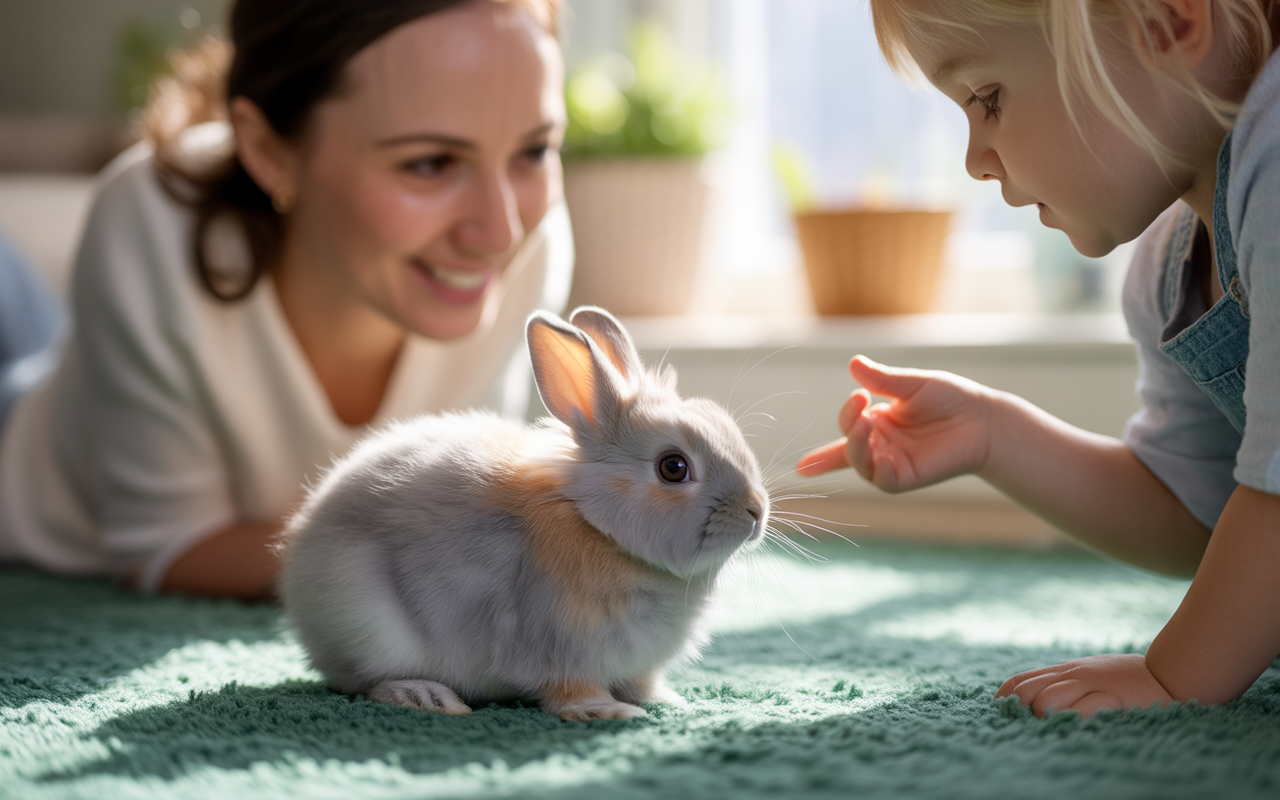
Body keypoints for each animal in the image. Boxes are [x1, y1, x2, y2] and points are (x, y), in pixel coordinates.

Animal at [278, 306, 769, 721]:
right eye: (673, 467)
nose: (757, 510)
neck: (597, 527)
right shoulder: (563, 650)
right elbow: (573, 692)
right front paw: (611, 712)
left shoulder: (635, 663)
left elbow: (642, 682)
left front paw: (667, 700)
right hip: (371, 630)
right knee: (364, 682)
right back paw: (426, 697)